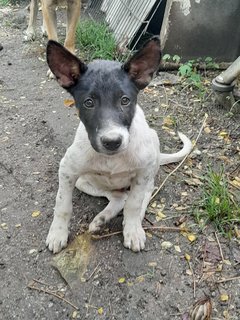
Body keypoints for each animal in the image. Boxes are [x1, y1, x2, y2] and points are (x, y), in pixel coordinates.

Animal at [44, 37, 191, 252]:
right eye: (88, 102)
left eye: (125, 100)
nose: (112, 141)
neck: (113, 158)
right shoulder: (67, 171)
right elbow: (62, 205)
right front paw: (57, 233)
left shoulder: (143, 172)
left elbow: (134, 204)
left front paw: (132, 230)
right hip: (83, 181)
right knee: (118, 198)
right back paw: (101, 219)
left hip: (152, 155)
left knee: (143, 194)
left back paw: (133, 221)